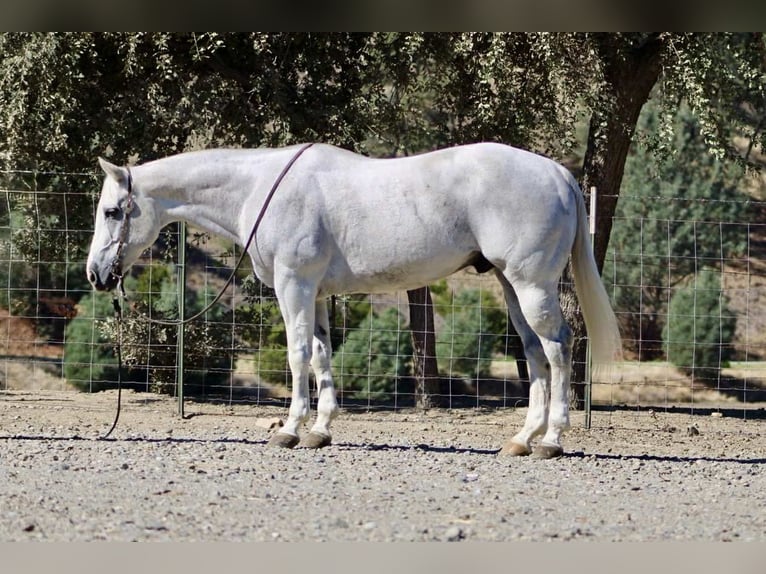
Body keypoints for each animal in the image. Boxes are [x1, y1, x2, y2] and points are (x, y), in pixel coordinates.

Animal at [86, 142, 621, 459]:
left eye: (112, 211)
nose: (96, 274)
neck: (262, 190)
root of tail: (558, 174)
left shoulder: (294, 285)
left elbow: (297, 355)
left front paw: (290, 429)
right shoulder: (317, 295)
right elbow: (322, 354)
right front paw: (320, 430)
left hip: (532, 285)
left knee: (558, 348)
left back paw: (552, 439)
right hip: (512, 286)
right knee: (535, 355)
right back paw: (522, 439)